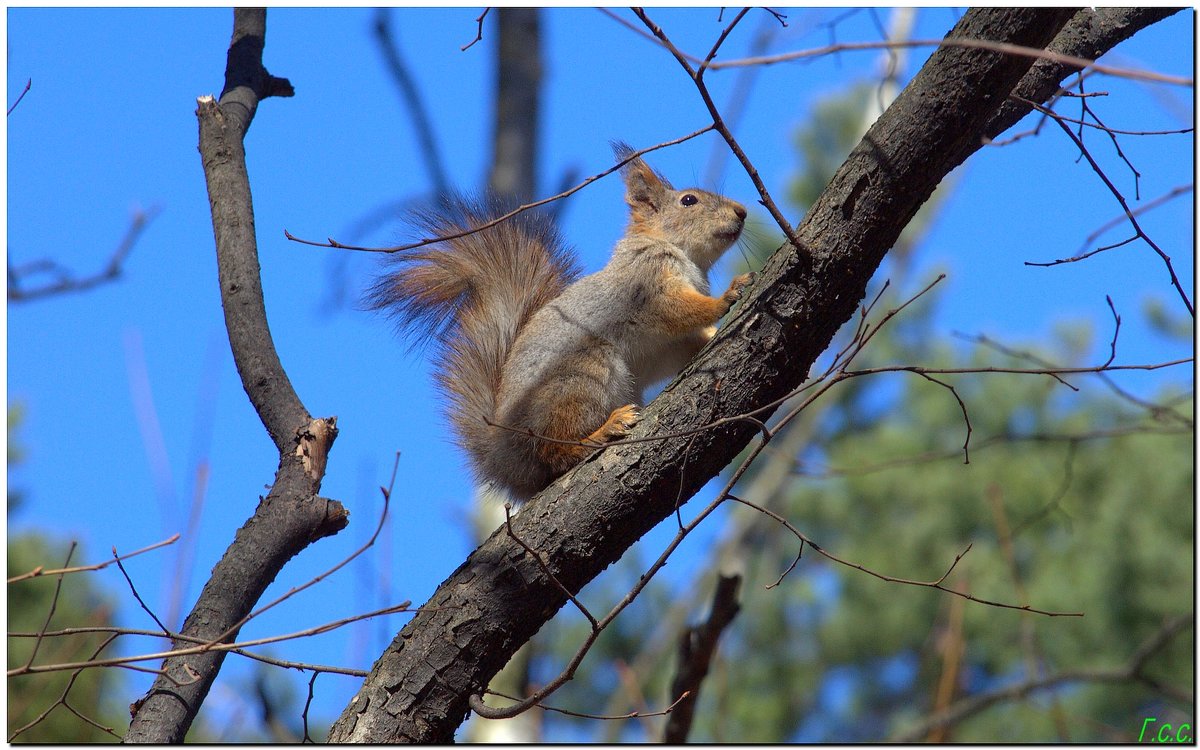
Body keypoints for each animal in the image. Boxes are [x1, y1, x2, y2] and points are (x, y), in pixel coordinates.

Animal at [369, 143, 753, 499]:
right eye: (689, 200)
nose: (743, 211)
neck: (682, 255)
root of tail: (504, 457)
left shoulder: (668, 345)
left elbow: (684, 345)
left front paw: (713, 332)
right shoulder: (647, 287)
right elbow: (680, 310)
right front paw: (727, 296)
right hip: (584, 374)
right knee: (554, 451)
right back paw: (604, 430)